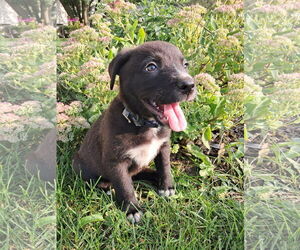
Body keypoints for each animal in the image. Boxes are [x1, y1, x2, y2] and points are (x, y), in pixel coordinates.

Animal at [73, 40, 197, 223]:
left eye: (185, 65)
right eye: (151, 67)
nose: (189, 85)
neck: (144, 124)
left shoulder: (163, 146)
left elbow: (165, 166)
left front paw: (166, 186)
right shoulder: (116, 162)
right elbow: (124, 186)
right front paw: (132, 209)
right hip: (83, 167)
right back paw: (106, 188)